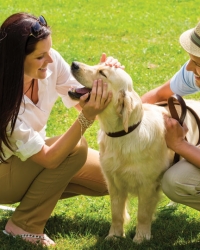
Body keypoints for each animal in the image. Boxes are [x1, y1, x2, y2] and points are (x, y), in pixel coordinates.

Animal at [69, 61, 200, 243]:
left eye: (102, 73)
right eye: (98, 65)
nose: (74, 64)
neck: (122, 134)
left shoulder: (148, 185)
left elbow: (143, 214)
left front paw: (141, 237)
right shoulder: (113, 182)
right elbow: (116, 213)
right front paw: (114, 235)